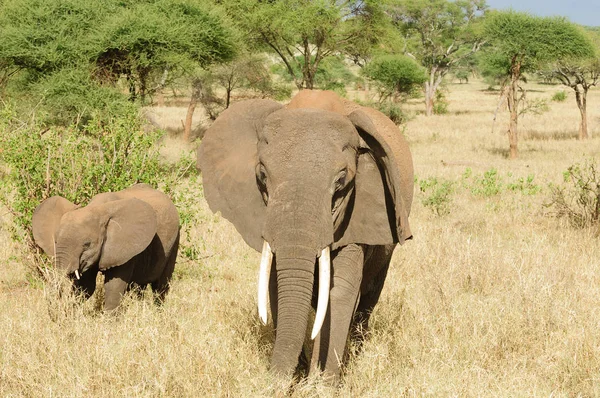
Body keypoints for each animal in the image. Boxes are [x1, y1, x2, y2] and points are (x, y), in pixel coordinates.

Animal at [31, 183, 179, 310]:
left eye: (87, 244)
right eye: (56, 242)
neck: (97, 209)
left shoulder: (124, 249)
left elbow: (114, 286)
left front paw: (109, 322)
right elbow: (86, 286)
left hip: (175, 239)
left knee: (161, 287)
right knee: (139, 287)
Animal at [197, 89, 412, 380]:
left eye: (341, 181)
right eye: (262, 174)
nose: (273, 380)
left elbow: (339, 290)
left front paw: (322, 382)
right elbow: (276, 284)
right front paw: (297, 377)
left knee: (370, 293)